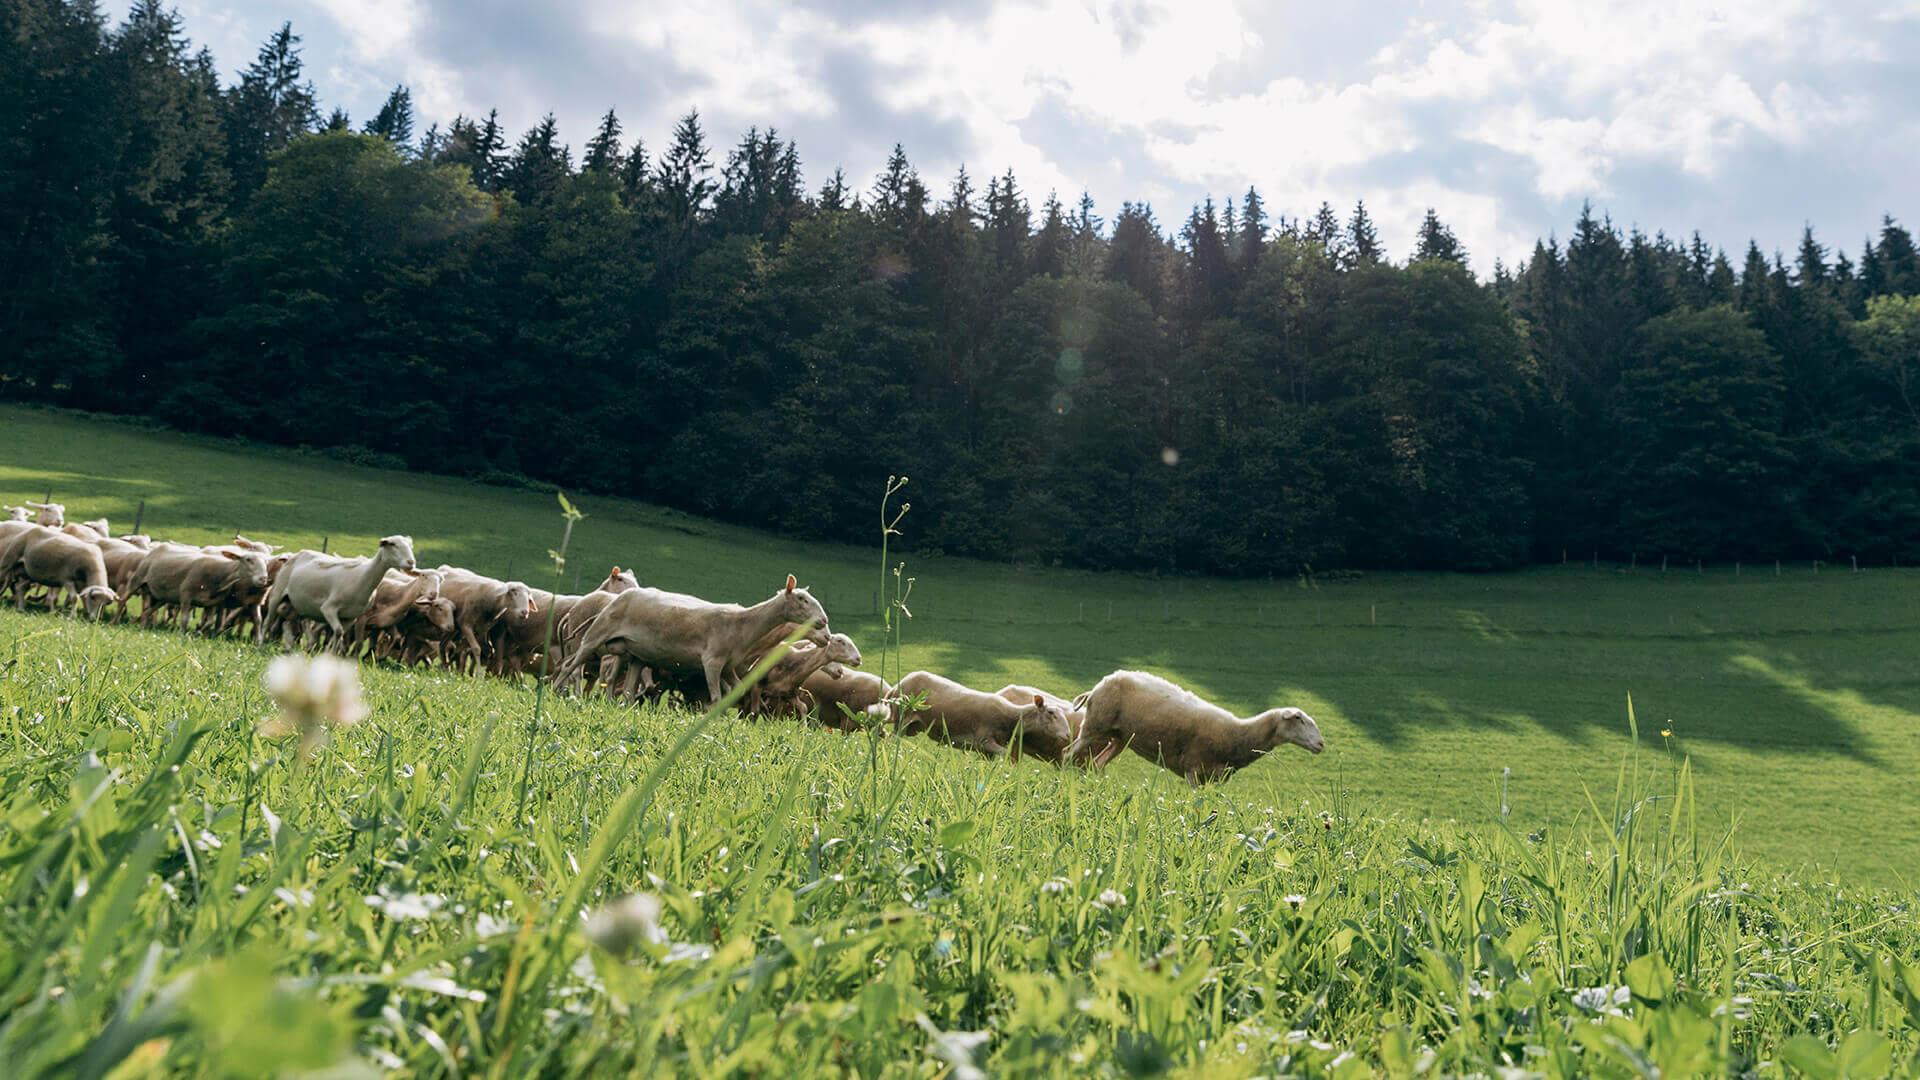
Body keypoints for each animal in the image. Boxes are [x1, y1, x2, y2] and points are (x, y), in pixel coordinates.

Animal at [263, 530, 420, 645]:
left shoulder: (351, 617)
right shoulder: (328, 608)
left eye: (410, 546)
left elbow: (339, 636)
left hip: (296, 606)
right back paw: (260, 645)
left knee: (287, 624)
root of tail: (295, 554)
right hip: (276, 594)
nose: (411, 562)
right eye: (392, 544)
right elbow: (338, 632)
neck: (363, 578)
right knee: (268, 621)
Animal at [552, 572, 829, 707]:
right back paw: (556, 691)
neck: (743, 624)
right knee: (569, 665)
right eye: (802, 599)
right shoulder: (712, 661)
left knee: (628, 690)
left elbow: (736, 693)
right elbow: (716, 697)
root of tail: (617, 598)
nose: (824, 622)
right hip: (595, 636)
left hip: (634, 653)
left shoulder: (728, 667)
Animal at [887, 664, 1075, 757]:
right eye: (1051, 713)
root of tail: (897, 685)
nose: (1068, 735)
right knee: (892, 740)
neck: (1011, 718)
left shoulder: (987, 750)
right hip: (902, 719)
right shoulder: (984, 740)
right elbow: (1005, 754)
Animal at [1067, 664, 1320, 780]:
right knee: (1070, 753)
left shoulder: (1214, 779)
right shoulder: (1193, 769)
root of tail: (1098, 685)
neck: (1239, 734)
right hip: (1093, 725)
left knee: (1096, 764)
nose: (1321, 744)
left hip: (1120, 738)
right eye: (1299, 719)